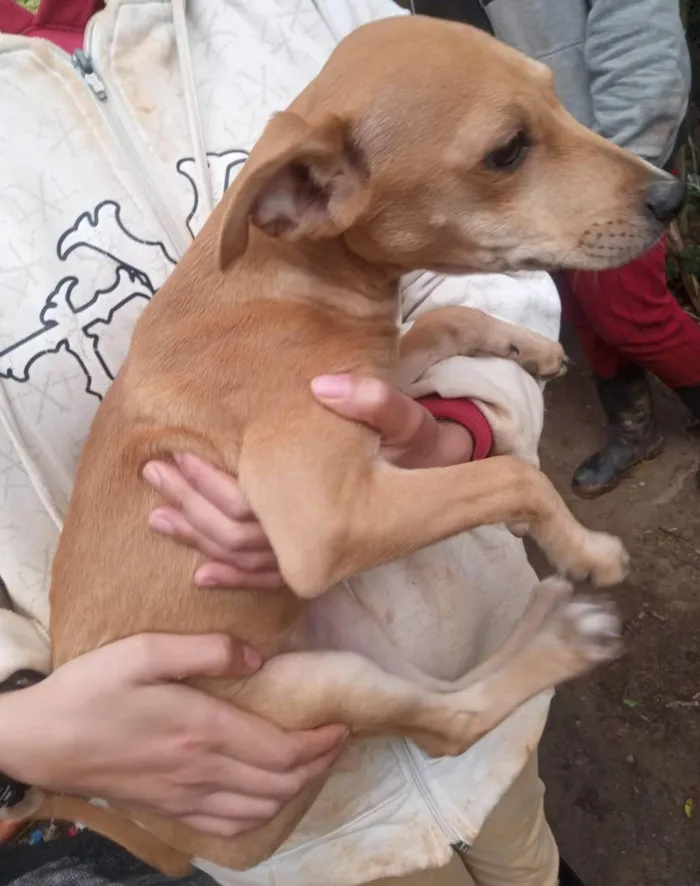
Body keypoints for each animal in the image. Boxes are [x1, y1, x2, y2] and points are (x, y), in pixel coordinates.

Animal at [30, 13, 680, 880]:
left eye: (552, 94)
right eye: (507, 150)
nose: (676, 195)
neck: (283, 274)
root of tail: (160, 837)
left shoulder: (370, 376)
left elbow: (445, 323)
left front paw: (533, 351)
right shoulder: (319, 519)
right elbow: (509, 478)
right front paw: (584, 547)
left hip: (338, 639)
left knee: (447, 698)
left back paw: (555, 624)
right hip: (309, 689)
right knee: (448, 725)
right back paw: (563, 626)